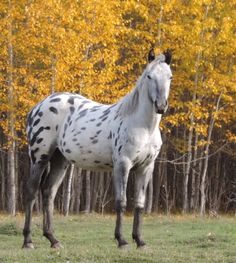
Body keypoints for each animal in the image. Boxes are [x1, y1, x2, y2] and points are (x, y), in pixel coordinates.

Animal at [22, 49, 172, 250]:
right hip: (39, 157)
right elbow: (121, 202)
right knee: (31, 192)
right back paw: (28, 241)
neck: (142, 125)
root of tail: (37, 107)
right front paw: (122, 241)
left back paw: (53, 240)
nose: (161, 106)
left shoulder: (146, 167)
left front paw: (140, 241)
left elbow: (139, 204)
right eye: (149, 76)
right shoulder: (122, 164)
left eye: (170, 77)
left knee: (48, 193)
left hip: (60, 160)